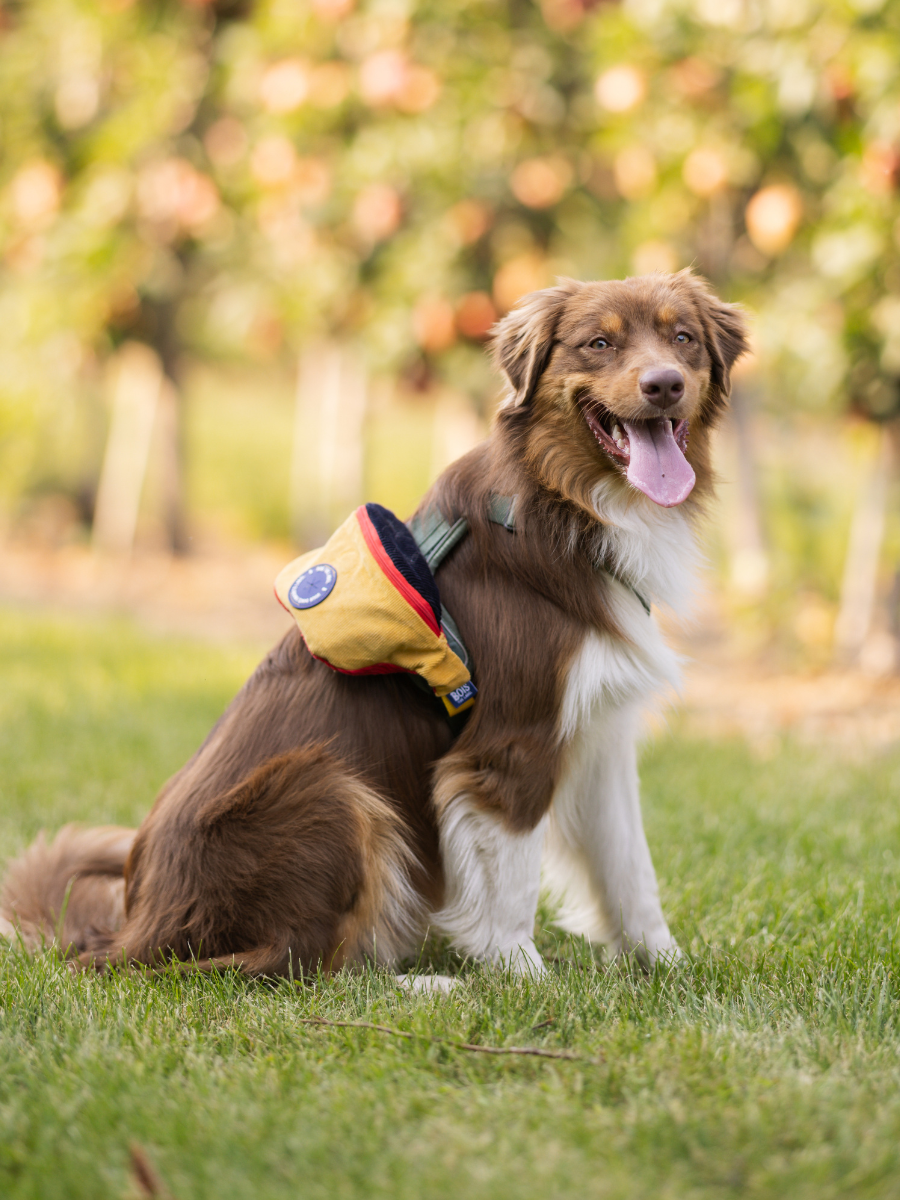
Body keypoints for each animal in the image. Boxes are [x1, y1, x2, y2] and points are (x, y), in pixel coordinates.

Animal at [0, 270, 748, 974]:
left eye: (682, 338)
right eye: (599, 343)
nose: (664, 385)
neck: (567, 504)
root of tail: (134, 931)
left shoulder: (600, 729)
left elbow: (630, 867)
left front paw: (667, 965)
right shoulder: (508, 742)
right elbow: (511, 885)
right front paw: (521, 976)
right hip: (335, 787)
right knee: (284, 965)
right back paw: (427, 985)